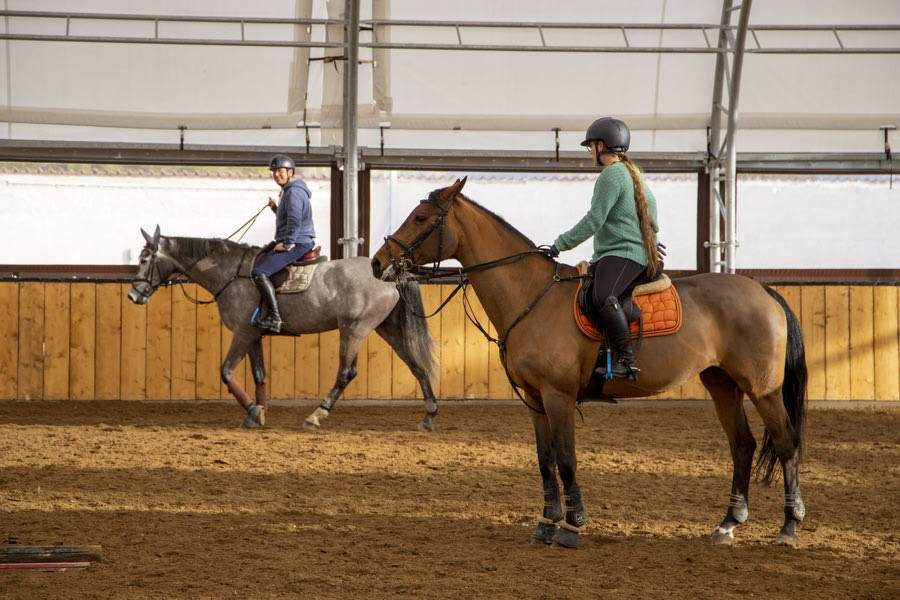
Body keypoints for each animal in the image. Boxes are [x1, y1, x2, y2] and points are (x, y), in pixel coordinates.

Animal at [127, 226, 440, 432]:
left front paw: (254, 410)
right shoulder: (253, 335)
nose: (133, 295)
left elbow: (226, 372)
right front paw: (258, 413)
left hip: (354, 329)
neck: (230, 274)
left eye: (144, 259)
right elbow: (259, 375)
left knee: (346, 373)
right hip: (389, 329)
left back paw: (316, 416)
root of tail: (389, 274)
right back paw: (428, 415)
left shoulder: (242, 334)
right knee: (416, 365)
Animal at [372, 177, 808, 548]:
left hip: (763, 389)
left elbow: (566, 461)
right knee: (743, 445)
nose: (378, 263)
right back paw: (728, 523)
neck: (532, 295)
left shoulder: (558, 397)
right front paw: (546, 523)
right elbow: (545, 461)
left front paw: (571, 525)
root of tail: (763, 289)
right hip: (722, 384)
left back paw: (789, 527)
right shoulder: (535, 401)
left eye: (421, 218)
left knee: (786, 443)